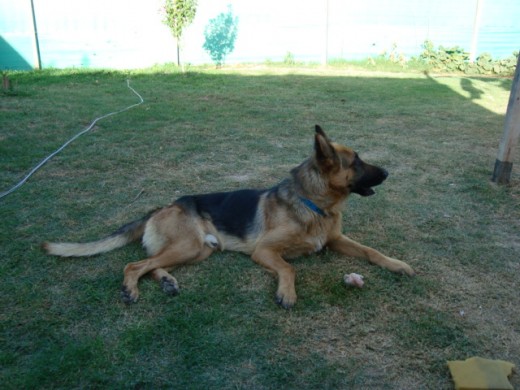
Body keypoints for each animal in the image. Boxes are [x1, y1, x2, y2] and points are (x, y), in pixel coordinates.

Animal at [43, 125, 414, 308]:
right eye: (357, 162)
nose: (388, 173)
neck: (313, 204)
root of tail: (163, 206)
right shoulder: (265, 251)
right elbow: (290, 267)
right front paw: (287, 293)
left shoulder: (336, 239)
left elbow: (371, 251)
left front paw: (396, 264)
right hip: (190, 246)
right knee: (134, 265)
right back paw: (131, 289)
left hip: (198, 251)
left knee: (151, 264)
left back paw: (166, 282)